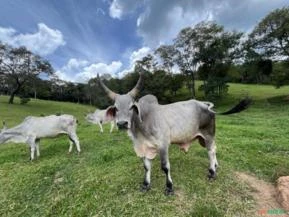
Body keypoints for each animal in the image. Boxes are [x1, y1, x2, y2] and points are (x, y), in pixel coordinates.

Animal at [97, 73, 250, 196]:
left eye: (131, 107)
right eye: (116, 108)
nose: (122, 123)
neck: (142, 125)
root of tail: (205, 105)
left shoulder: (163, 145)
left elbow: (165, 167)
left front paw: (169, 187)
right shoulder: (145, 148)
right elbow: (146, 166)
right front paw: (146, 185)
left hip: (208, 134)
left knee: (211, 151)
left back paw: (212, 172)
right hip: (203, 138)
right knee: (214, 149)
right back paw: (216, 166)